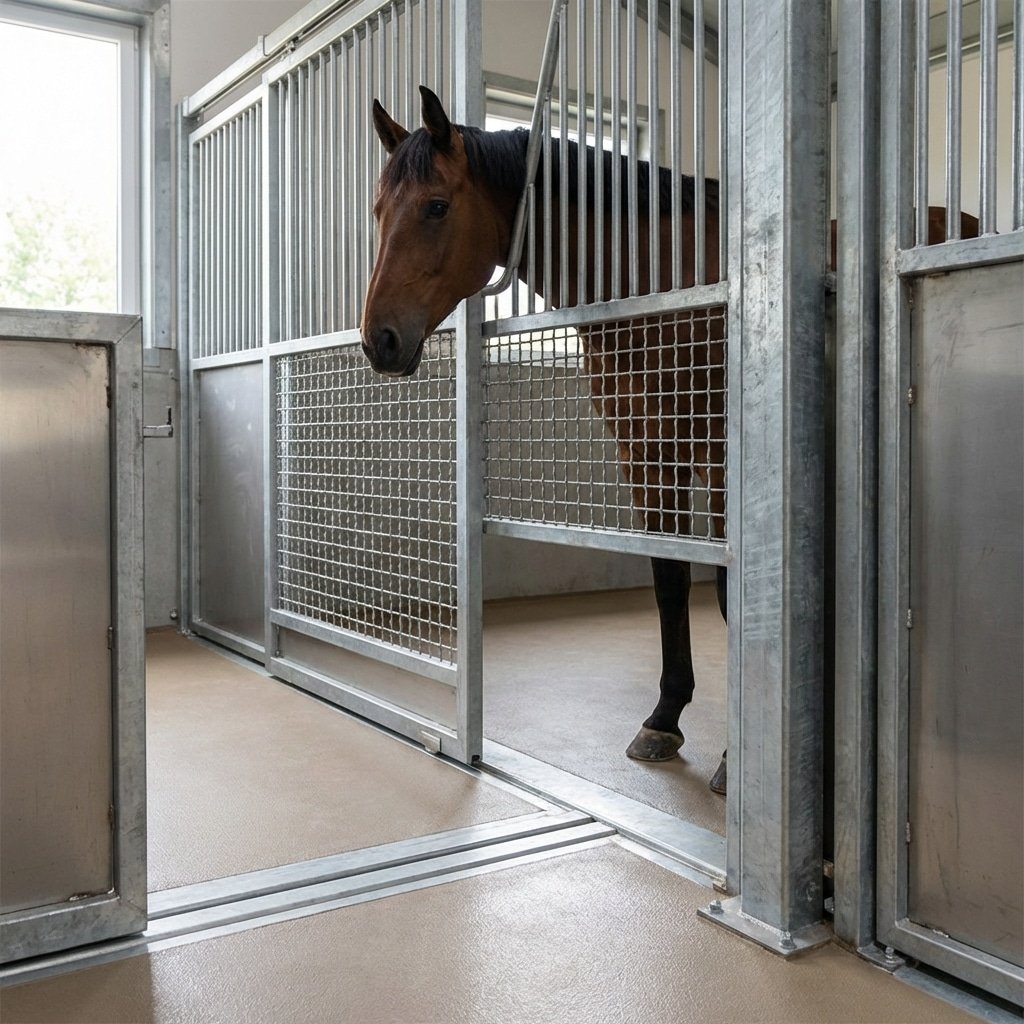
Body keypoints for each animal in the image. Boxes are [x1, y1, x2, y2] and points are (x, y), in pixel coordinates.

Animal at [360, 85, 979, 795]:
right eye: (379, 210)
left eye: (436, 206)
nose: (378, 340)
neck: (658, 287)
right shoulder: (647, 452)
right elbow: (669, 579)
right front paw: (664, 718)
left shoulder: (729, 461)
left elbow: (734, 593)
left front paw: (738, 758)